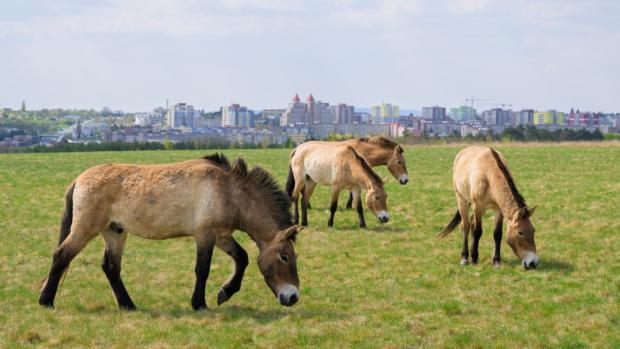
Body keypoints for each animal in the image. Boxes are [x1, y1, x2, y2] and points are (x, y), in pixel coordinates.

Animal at [37, 154, 302, 308]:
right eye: (284, 257)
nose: (293, 297)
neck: (229, 191)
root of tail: (79, 180)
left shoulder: (221, 236)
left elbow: (242, 258)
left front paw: (226, 292)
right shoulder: (205, 235)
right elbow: (202, 270)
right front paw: (199, 304)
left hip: (115, 232)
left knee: (110, 267)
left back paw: (128, 305)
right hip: (86, 228)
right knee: (62, 256)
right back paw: (46, 301)